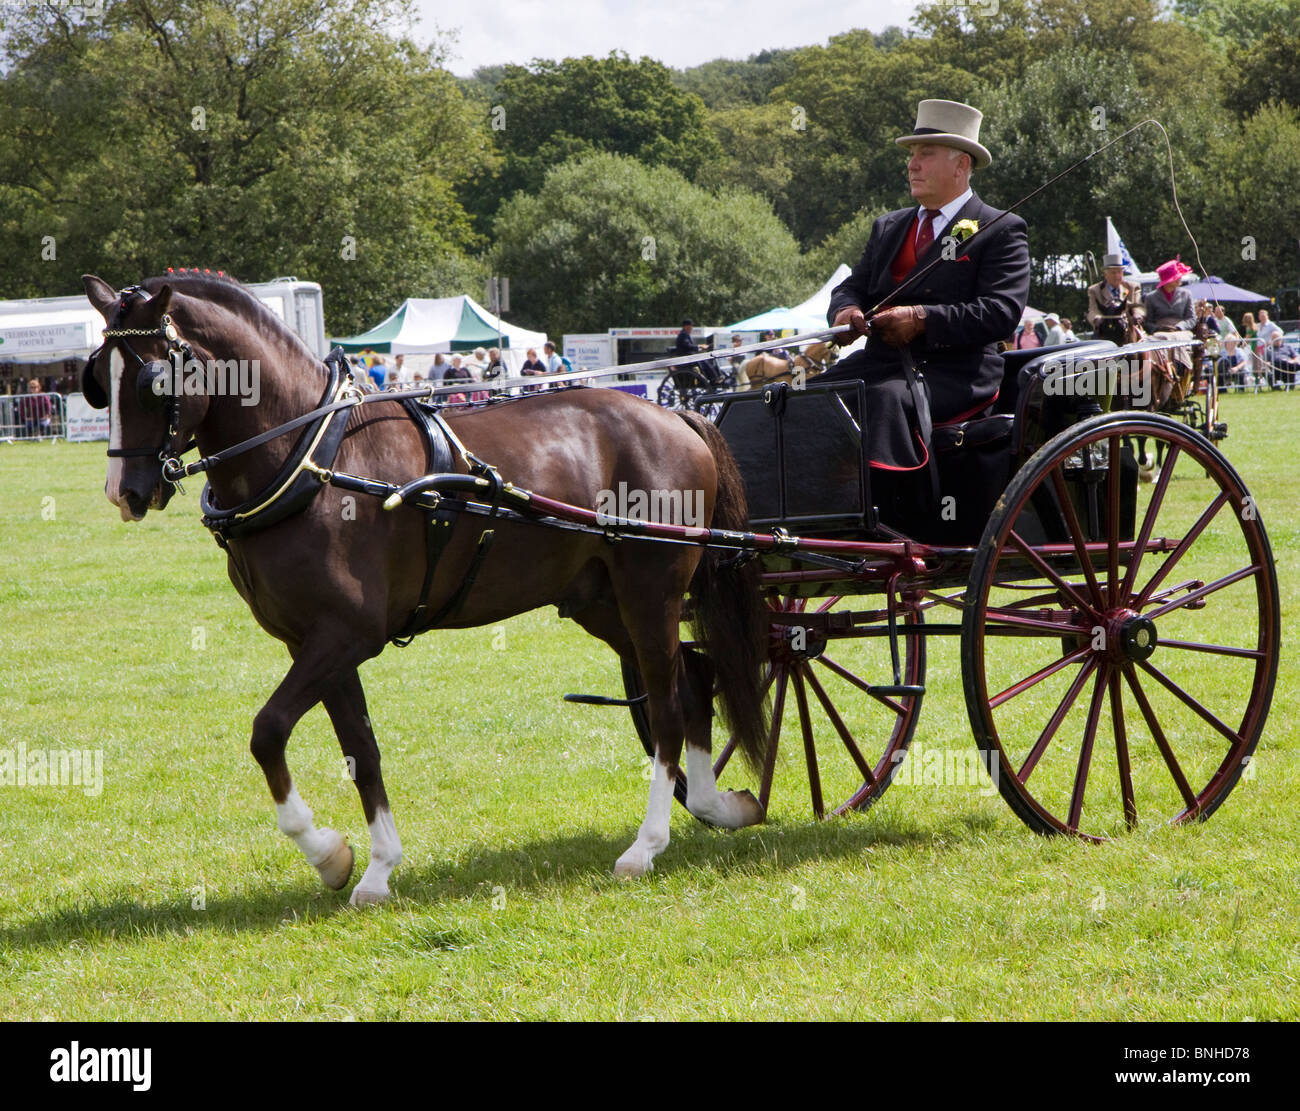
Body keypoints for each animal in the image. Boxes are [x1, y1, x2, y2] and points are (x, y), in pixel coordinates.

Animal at [78, 274, 769, 909]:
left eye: (151, 380)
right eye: (96, 381)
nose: (124, 493)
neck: (315, 461)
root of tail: (672, 415)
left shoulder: (346, 636)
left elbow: (268, 730)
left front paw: (326, 851)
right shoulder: (316, 644)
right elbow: (360, 748)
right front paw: (374, 868)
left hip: (649, 592)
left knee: (668, 701)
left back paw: (646, 846)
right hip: (600, 602)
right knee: (694, 681)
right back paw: (716, 804)